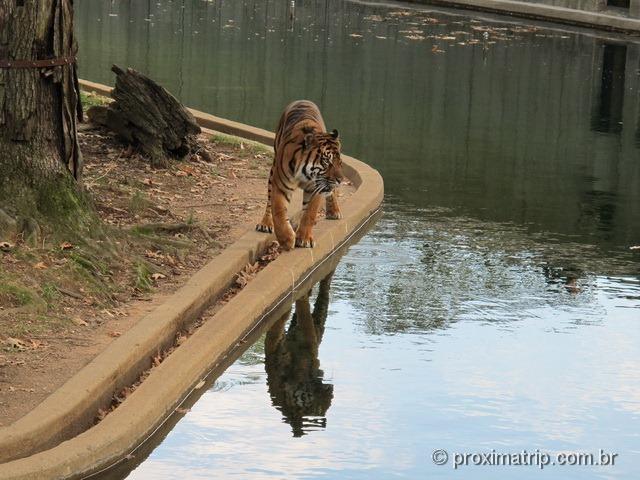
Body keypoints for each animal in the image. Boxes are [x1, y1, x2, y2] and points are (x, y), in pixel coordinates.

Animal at [256, 101, 344, 251]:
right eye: (327, 161)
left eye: (339, 162)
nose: (340, 180)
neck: (305, 173)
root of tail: (303, 100)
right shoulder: (280, 186)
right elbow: (278, 212)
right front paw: (286, 239)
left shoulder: (316, 188)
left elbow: (309, 214)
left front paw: (304, 239)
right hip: (272, 172)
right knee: (269, 203)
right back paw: (265, 224)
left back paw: (334, 211)